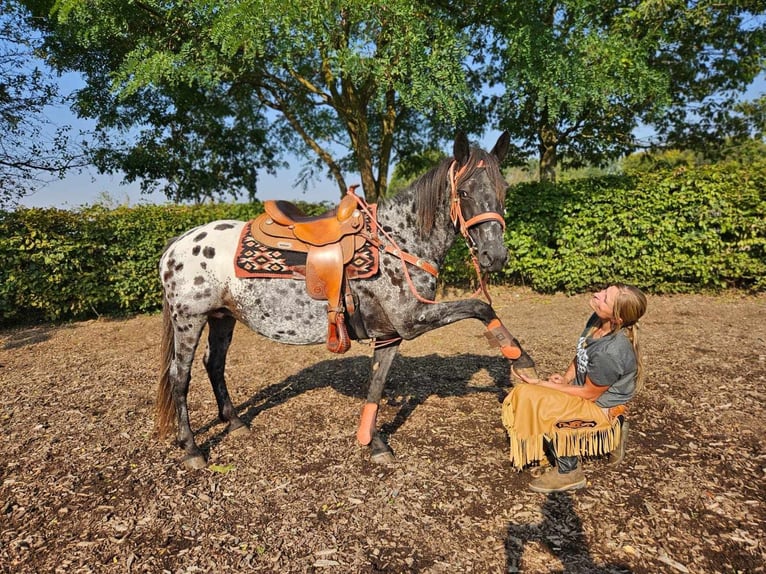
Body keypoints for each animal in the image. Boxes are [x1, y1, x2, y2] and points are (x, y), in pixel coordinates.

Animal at [156, 133, 536, 470]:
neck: (398, 241)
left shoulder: (390, 333)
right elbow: (480, 307)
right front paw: (522, 361)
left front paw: (373, 441)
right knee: (180, 376)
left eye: (504, 190)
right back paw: (192, 450)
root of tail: (178, 243)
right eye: (465, 191)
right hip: (189, 319)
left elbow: (377, 383)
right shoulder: (411, 319)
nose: (495, 256)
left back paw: (235, 423)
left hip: (223, 317)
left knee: (214, 364)